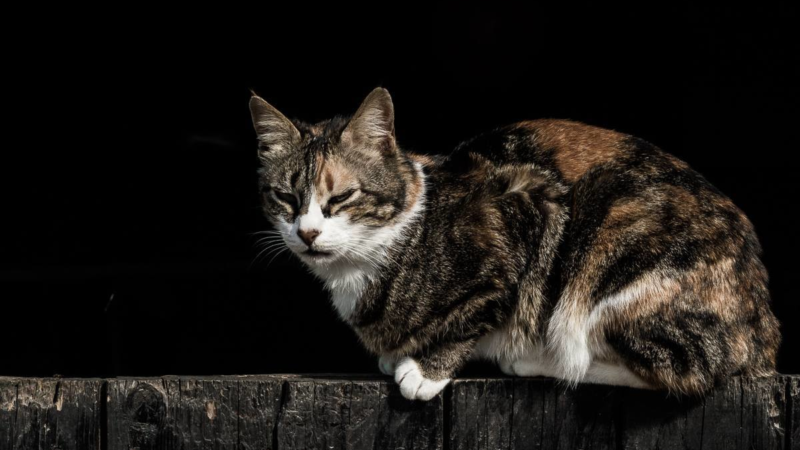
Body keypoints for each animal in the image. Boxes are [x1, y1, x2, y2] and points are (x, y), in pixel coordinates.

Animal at [247, 87, 780, 400]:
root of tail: (763, 325)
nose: (307, 233)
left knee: (689, 370)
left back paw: (542, 361)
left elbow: (481, 308)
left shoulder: (527, 206)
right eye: (285, 197)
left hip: (614, 231)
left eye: (342, 197)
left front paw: (427, 369)